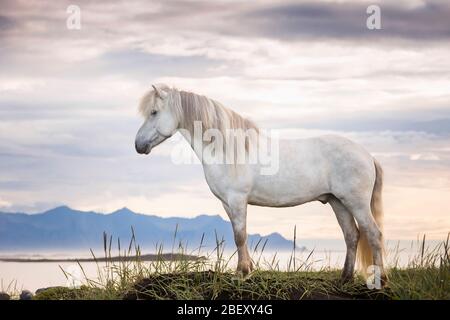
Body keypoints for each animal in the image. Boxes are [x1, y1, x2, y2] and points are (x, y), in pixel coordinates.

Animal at [135, 84, 384, 284]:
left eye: (154, 112)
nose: (138, 145)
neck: (227, 149)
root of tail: (367, 155)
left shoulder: (237, 200)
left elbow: (240, 235)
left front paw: (241, 273)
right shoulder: (228, 203)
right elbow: (239, 235)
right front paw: (247, 269)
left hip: (356, 203)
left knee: (374, 234)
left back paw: (380, 280)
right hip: (338, 202)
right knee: (352, 235)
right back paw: (345, 278)